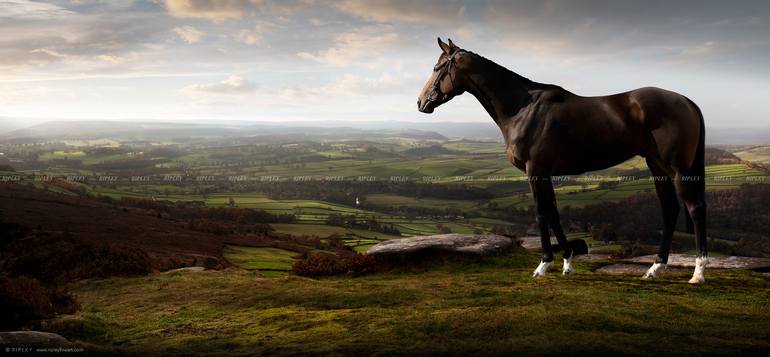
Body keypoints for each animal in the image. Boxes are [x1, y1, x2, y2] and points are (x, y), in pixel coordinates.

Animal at [416, 39, 704, 282]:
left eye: (437, 68)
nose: (420, 102)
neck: (523, 108)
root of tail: (687, 101)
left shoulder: (535, 170)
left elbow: (541, 213)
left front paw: (543, 265)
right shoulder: (545, 173)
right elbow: (554, 212)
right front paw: (567, 262)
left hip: (677, 168)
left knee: (694, 208)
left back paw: (698, 273)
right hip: (656, 165)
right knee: (670, 210)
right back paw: (655, 268)